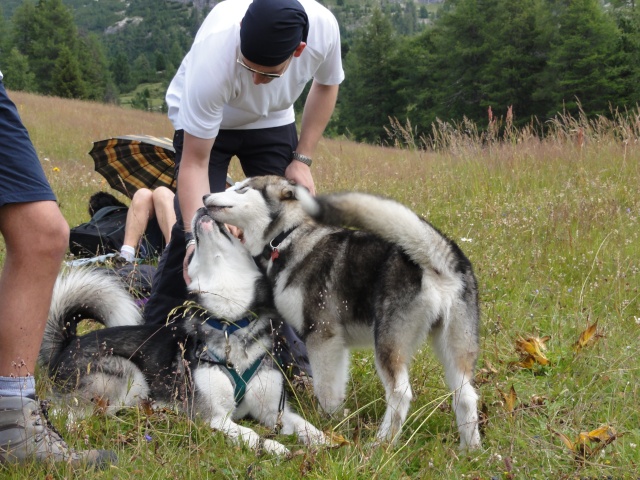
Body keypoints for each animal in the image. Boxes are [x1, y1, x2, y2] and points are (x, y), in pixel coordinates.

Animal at [204, 176, 480, 450]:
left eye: (243, 189)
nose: (206, 196)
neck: (287, 235)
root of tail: (437, 256)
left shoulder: (321, 336)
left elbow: (325, 388)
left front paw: (326, 423)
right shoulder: (337, 345)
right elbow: (335, 386)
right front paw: (335, 419)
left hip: (388, 344)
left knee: (401, 393)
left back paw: (381, 444)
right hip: (454, 345)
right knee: (466, 395)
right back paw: (470, 451)